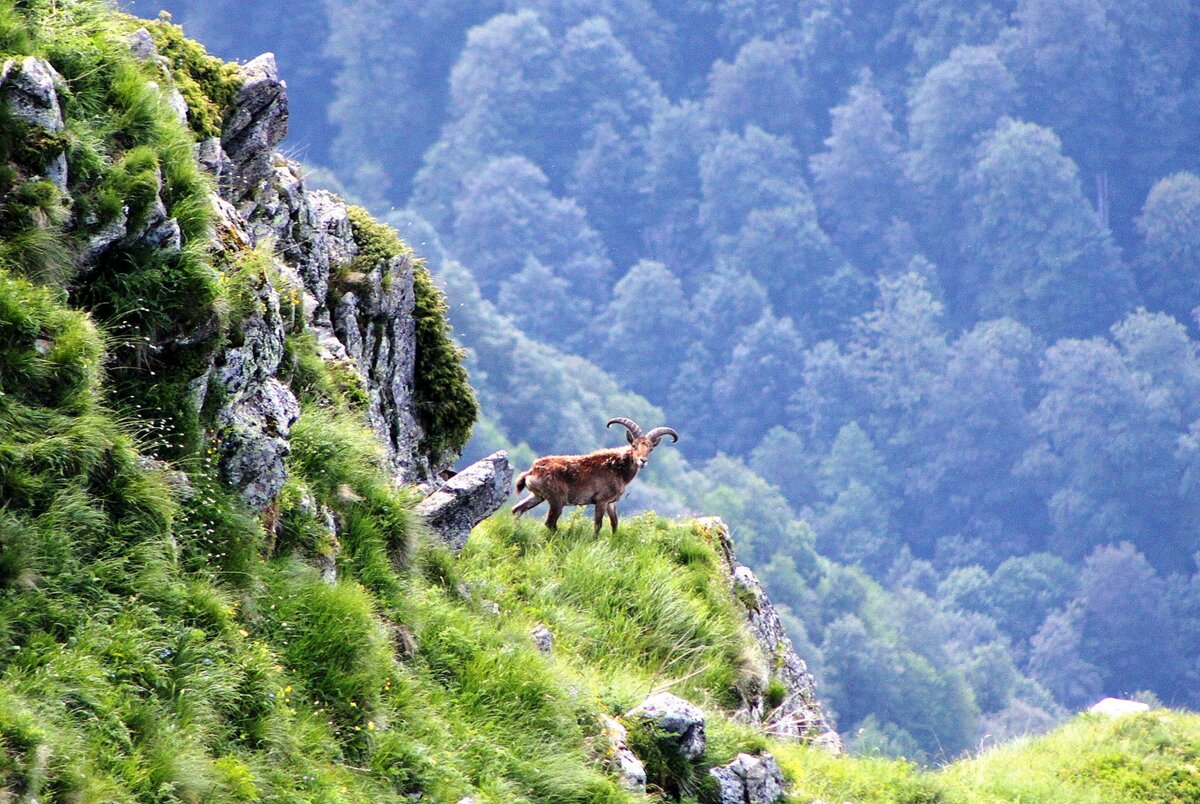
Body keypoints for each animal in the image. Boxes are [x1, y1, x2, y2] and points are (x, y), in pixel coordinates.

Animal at [511, 422, 681, 535]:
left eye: (650, 448)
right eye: (634, 445)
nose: (643, 461)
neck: (617, 468)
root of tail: (531, 471)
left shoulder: (611, 502)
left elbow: (614, 523)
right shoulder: (601, 500)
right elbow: (598, 525)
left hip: (537, 496)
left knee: (517, 509)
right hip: (556, 500)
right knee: (549, 522)